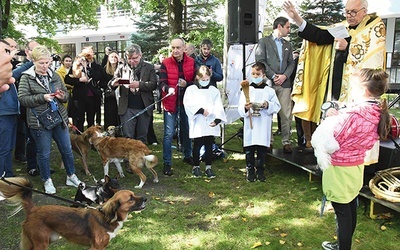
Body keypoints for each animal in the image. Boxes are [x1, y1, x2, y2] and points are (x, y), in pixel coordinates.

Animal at [0, 177, 147, 249]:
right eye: (131, 198)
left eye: (134, 194)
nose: (146, 198)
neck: (107, 217)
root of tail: (33, 209)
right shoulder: (96, 247)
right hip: (41, 243)